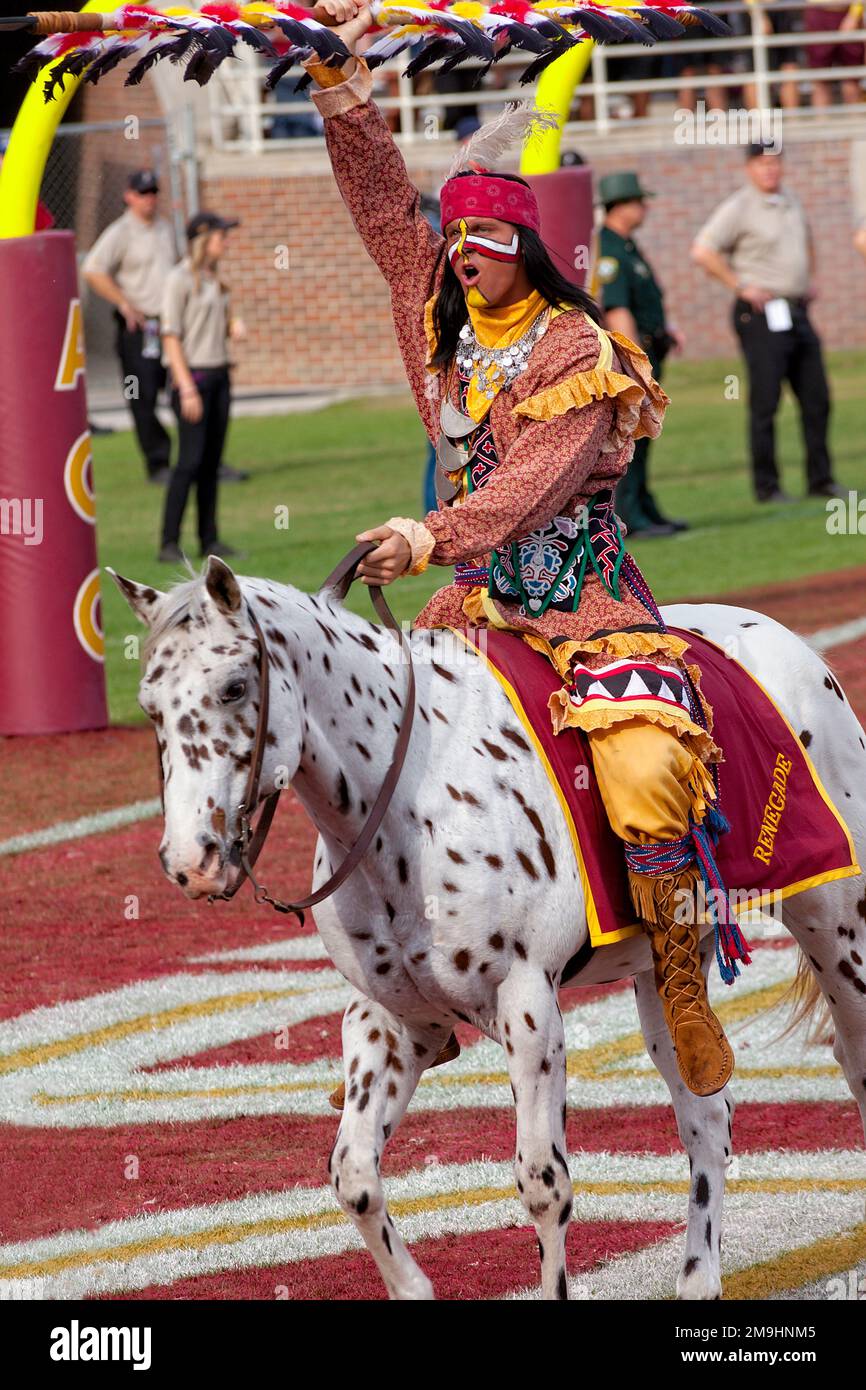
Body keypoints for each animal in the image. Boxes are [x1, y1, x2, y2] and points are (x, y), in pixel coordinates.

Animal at [111, 556, 866, 1301]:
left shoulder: (528, 1006)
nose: (189, 860)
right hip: (667, 974)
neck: (413, 801)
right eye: (149, 705)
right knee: (707, 1117)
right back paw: (698, 1279)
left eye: (236, 687)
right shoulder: (394, 1019)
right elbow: (354, 1176)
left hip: (836, 925)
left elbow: (543, 1185)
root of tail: (795, 648)